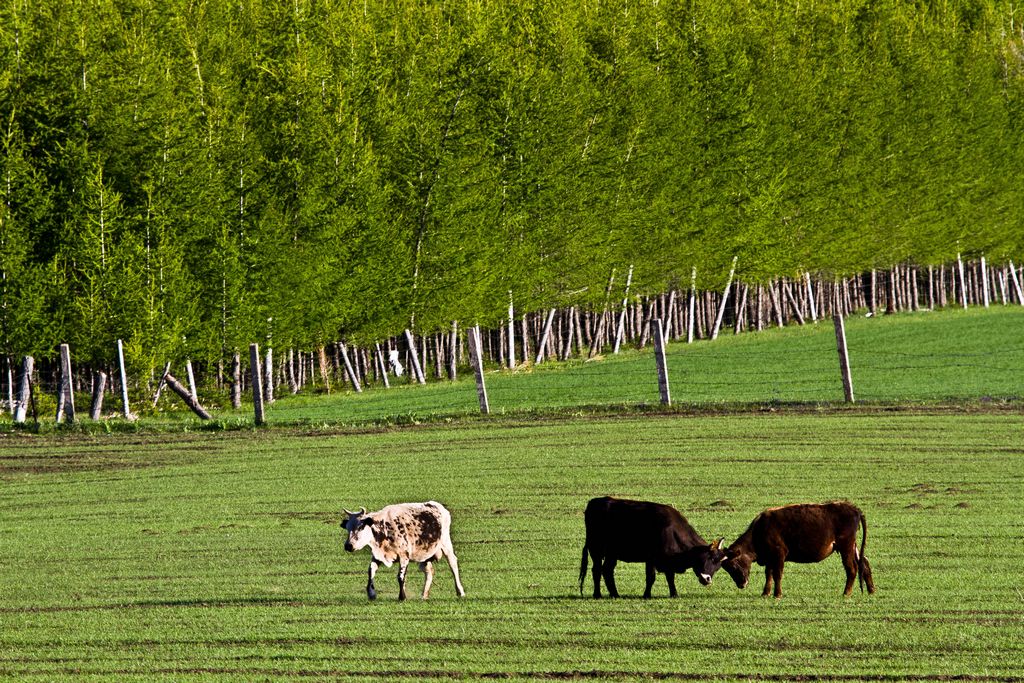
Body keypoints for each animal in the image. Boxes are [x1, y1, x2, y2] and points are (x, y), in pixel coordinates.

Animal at [577, 497, 729, 598]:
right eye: (710, 558)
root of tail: (595, 502)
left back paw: (615, 594)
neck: (672, 531)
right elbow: (651, 577)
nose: (707, 579)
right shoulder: (651, 559)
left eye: (718, 566)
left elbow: (670, 577)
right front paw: (647, 595)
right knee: (597, 570)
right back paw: (597, 594)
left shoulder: (668, 562)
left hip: (611, 554)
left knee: (607, 570)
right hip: (595, 549)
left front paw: (674, 593)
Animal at [724, 501, 876, 598]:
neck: (760, 529)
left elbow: (777, 574)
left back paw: (846, 593)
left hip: (845, 547)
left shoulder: (779, 554)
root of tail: (854, 509)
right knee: (864, 562)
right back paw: (871, 590)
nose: (741, 584)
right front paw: (765, 593)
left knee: (852, 569)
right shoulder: (770, 558)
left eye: (733, 565)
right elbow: (769, 574)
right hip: (852, 546)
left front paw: (777, 594)